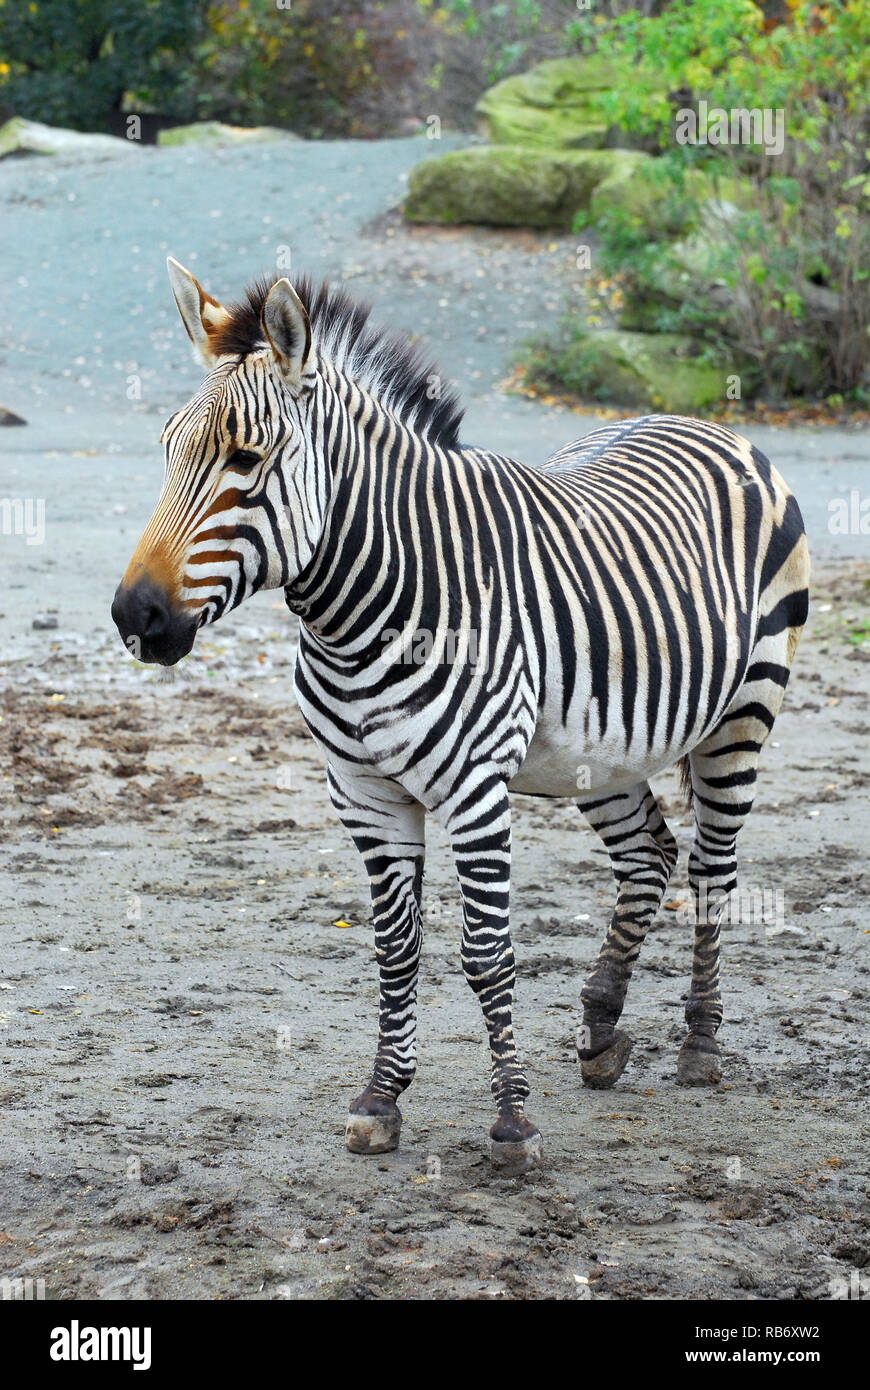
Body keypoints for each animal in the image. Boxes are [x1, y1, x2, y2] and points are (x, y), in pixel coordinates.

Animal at [109, 261, 806, 1173]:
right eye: (166, 450)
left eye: (245, 459)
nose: (135, 616)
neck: (363, 610)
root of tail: (710, 422)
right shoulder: (363, 792)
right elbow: (394, 949)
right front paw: (382, 1099)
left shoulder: (476, 789)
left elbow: (486, 953)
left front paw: (512, 1121)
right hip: (604, 749)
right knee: (649, 856)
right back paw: (602, 1029)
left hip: (743, 716)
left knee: (712, 872)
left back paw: (700, 1047)